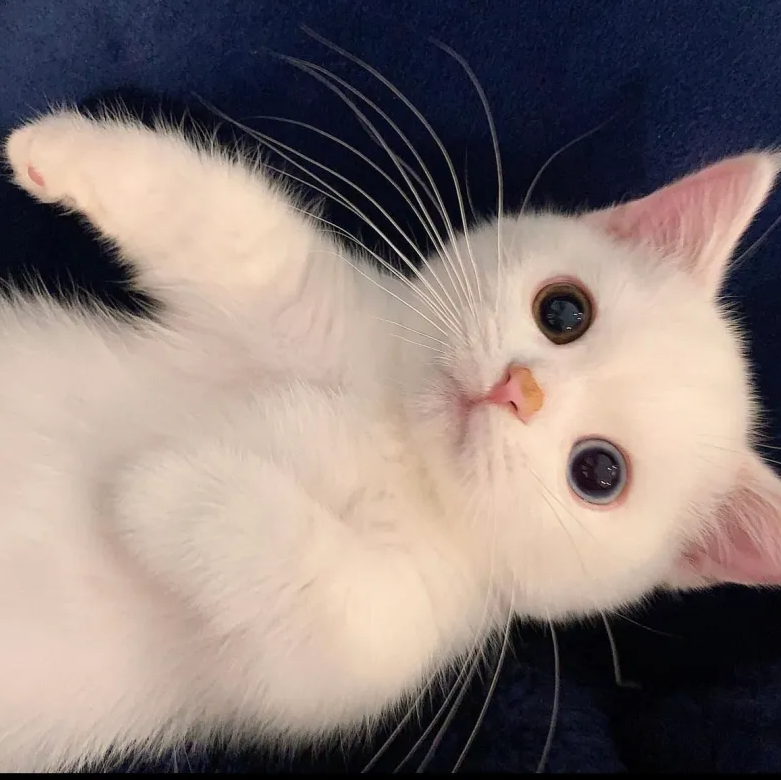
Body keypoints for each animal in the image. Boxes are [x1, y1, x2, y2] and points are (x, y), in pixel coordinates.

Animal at [1, 111, 780, 772]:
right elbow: (240, 233)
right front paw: (56, 148)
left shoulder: (386, 633)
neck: (400, 445)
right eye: (563, 311)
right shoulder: (315, 311)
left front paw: (164, 489)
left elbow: (336, 612)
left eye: (598, 472)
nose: (518, 390)